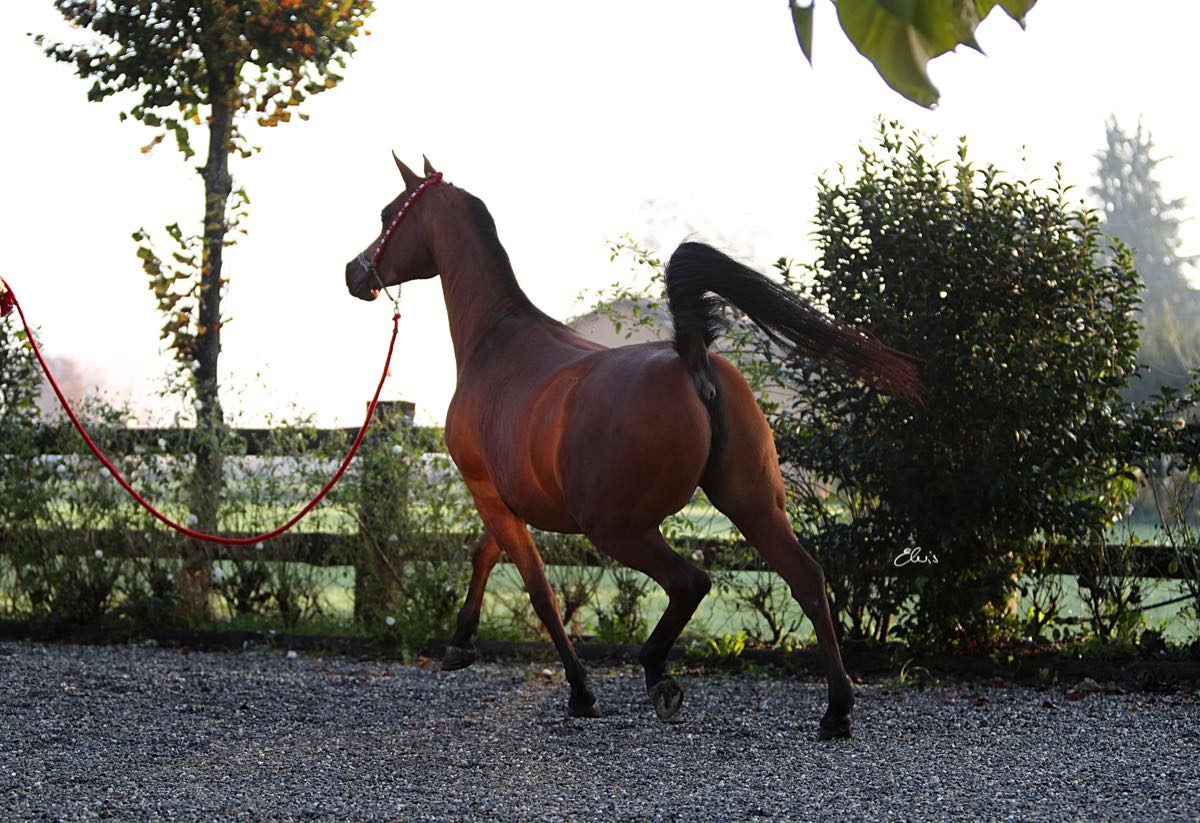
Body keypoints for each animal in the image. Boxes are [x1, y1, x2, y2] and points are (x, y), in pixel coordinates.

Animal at [345, 156, 922, 740]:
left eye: (389, 213)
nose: (355, 273)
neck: (496, 342)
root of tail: (692, 358)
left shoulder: (485, 489)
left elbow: (537, 588)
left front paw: (581, 693)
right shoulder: (507, 499)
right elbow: (486, 554)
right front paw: (460, 643)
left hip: (619, 528)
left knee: (691, 581)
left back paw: (658, 673)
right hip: (752, 505)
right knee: (805, 577)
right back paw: (835, 709)